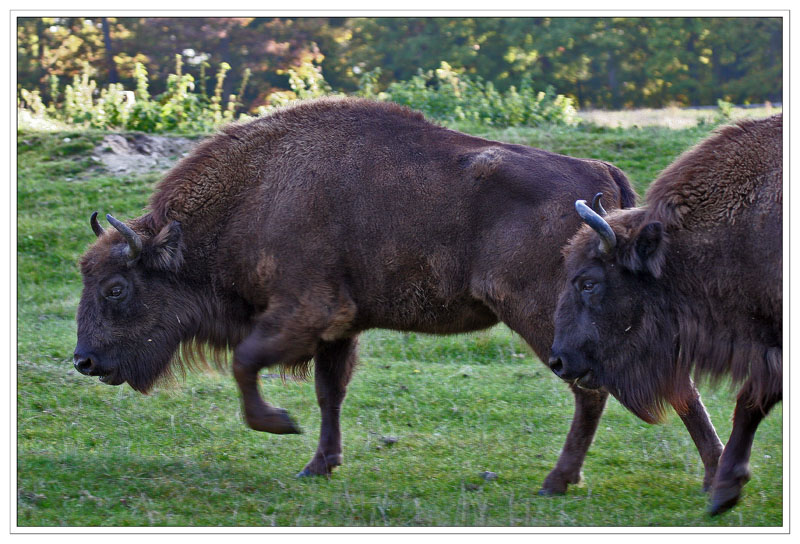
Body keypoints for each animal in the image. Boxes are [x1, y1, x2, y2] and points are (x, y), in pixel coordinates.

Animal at [76, 96, 724, 492]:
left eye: (115, 287)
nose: (83, 360)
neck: (257, 192)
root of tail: (601, 176)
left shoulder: (304, 312)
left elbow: (246, 363)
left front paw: (279, 425)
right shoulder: (338, 329)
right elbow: (329, 394)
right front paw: (319, 464)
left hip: (548, 323)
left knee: (593, 393)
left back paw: (559, 481)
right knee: (666, 384)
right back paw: (710, 471)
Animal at [552, 111, 780, 516]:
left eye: (589, 282)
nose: (558, 360)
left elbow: (749, 402)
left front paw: (723, 492)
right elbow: (753, 400)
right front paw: (726, 490)